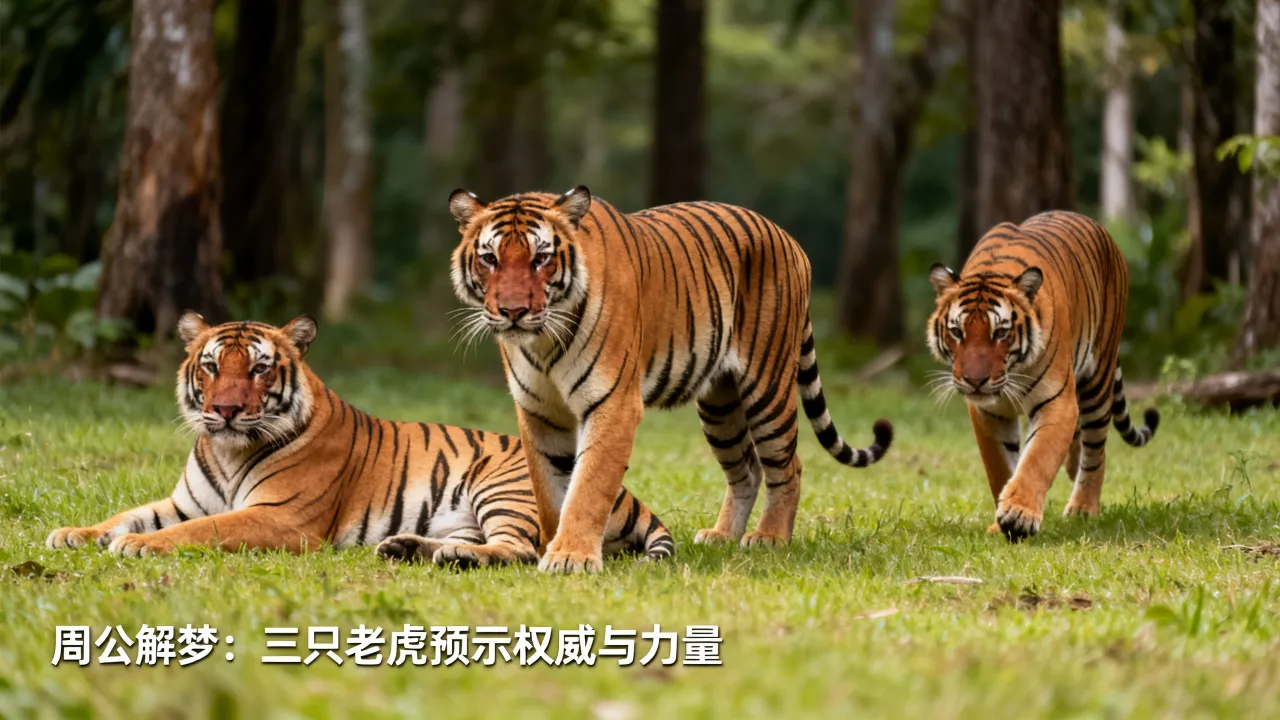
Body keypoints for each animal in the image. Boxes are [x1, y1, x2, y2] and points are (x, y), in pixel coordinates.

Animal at [45, 313, 674, 565]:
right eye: (210, 366)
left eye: (259, 369)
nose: (223, 411)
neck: (226, 451)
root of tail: (627, 492)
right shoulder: (182, 501)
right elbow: (127, 514)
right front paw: (72, 534)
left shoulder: (280, 517)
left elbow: (202, 530)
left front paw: (140, 546)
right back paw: (407, 548)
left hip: (506, 490)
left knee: (522, 549)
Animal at [448, 185, 894, 574]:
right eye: (490, 259)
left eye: (541, 259)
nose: (513, 311)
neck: (542, 343)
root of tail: (788, 237)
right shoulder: (538, 412)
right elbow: (548, 491)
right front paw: (550, 548)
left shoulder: (613, 403)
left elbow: (588, 486)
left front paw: (571, 557)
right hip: (720, 405)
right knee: (747, 469)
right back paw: (721, 535)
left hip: (767, 387)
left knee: (788, 465)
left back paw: (770, 537)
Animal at [927, 210, 1159, 541]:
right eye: (957, 332)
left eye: (1000, 333)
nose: (975, 381)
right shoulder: (988, 412)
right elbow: (1000, 467)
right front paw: (999, 522)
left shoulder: (1057, 401)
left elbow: (1037, 459)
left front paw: (1018, 514)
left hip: (1098, 379)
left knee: (1095, 451)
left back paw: (1083, 507)